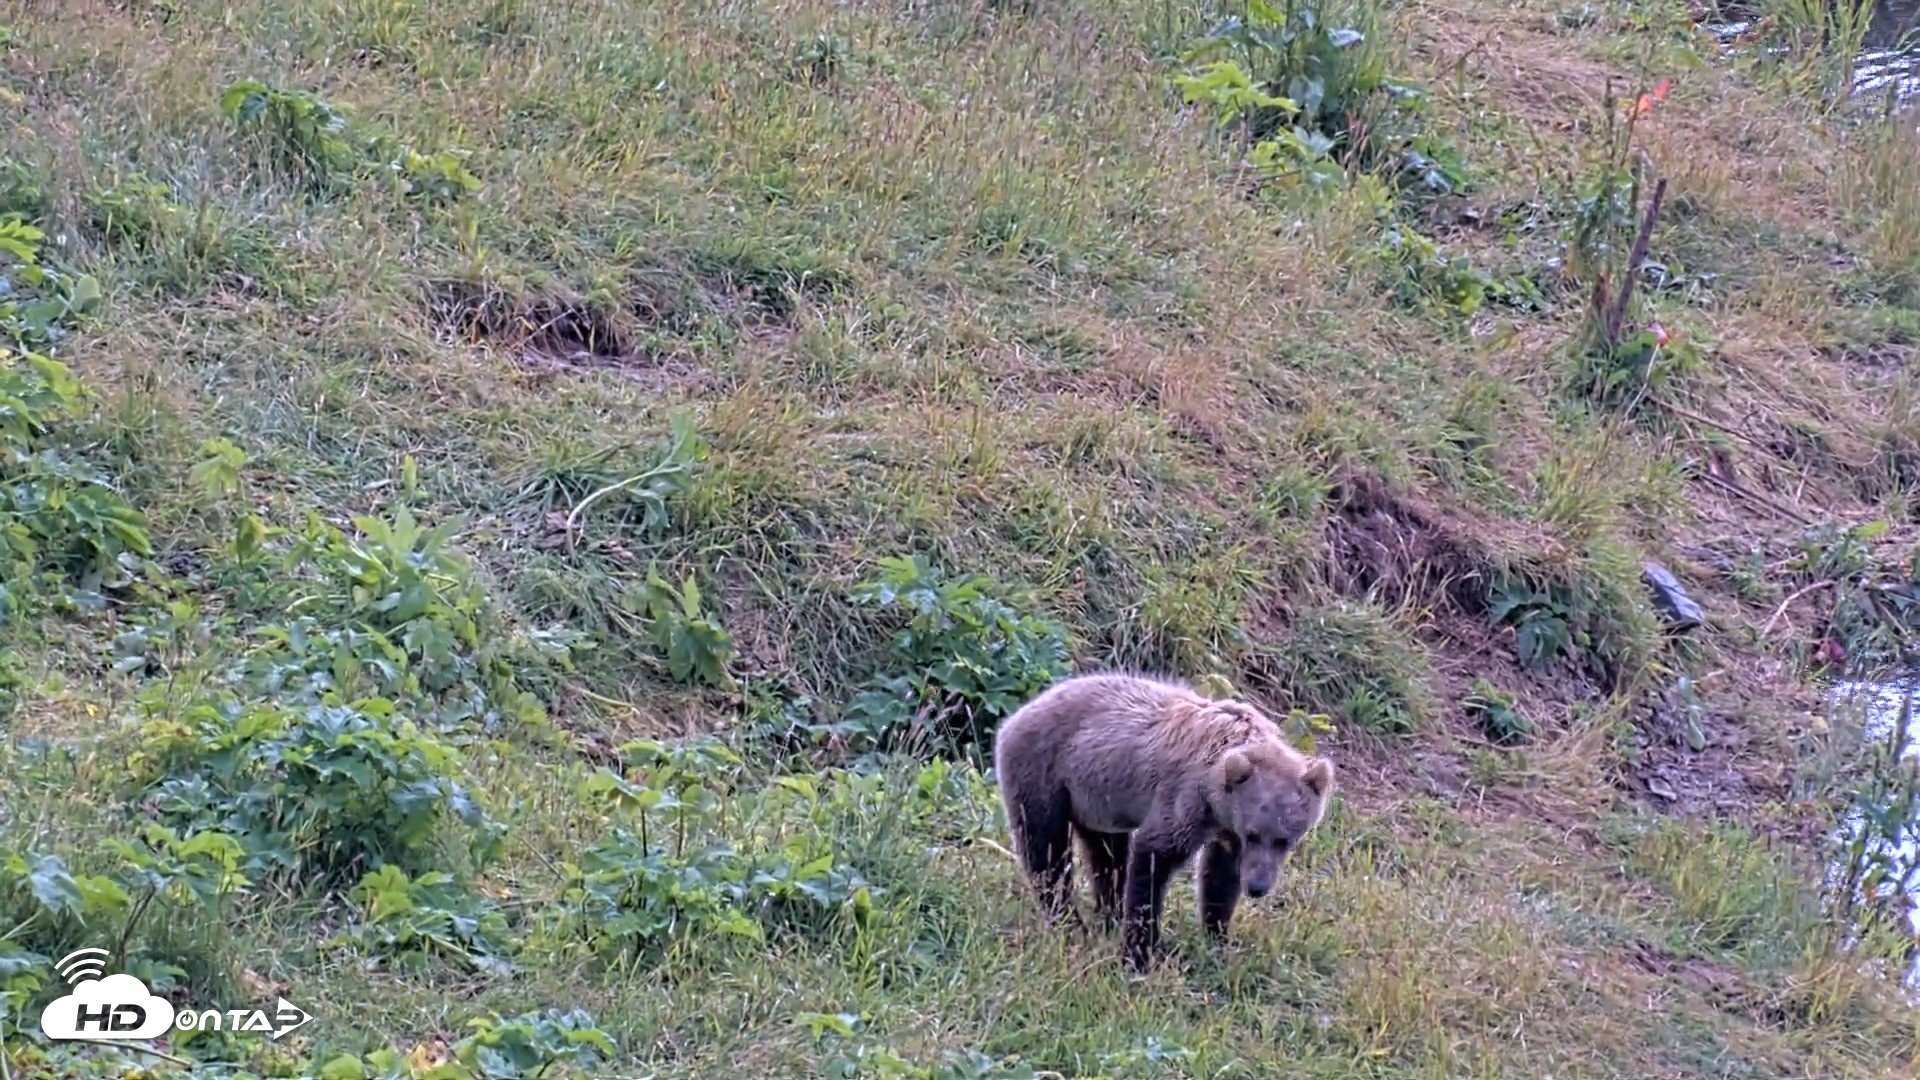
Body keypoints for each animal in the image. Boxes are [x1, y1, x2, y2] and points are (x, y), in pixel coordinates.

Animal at [991, 671, 1335, 971]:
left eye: (1284, 840)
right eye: (1254, 834)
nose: (1257, 887)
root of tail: (1015, 716)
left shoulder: (1225, 828)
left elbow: (1219, 876)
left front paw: (1217, 938)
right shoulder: (1186, 798)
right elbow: (1154, 858)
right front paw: (1140, 954)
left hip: (1095, 799)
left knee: (1107, 856)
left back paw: (1108, 917)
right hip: (1044, 774)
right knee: (1046, 852)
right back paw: (1070, 924)